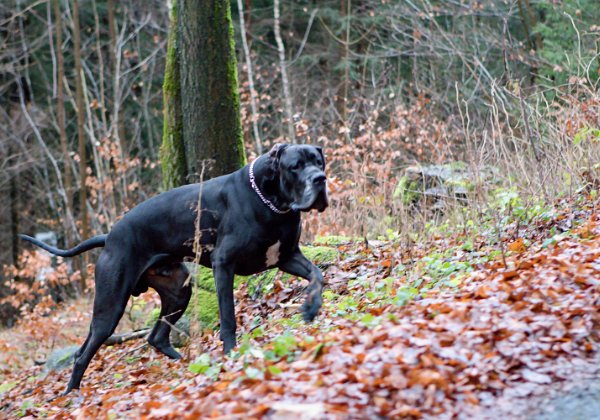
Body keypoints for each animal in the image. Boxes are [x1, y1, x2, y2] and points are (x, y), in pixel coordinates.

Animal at [21, 144, 328, 394]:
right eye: (295, 166)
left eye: (319, 162)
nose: (320, 179)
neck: (272, 202)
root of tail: (108, 237)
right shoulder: (223, 264)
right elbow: (228, 315)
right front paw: (231, 354)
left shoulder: (287, 256)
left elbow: (317, 275)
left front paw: (311, 308)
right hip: (110, 306)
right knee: (82, 353)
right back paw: (71, 394)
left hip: (178, 290)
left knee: (156, 336)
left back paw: (183, 364)